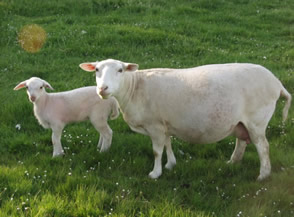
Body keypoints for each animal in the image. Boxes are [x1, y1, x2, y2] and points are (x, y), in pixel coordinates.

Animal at [78, 58, 292, 181]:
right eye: (96, 70)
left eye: (120, 70)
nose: (102, 89)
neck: (134, 88)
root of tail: (277, 83)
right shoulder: (164, 124)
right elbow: (168, 144)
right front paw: (170, 165)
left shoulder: (155, 125)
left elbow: (157, 151)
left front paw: (155, 174)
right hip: (241, 121)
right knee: (241, 142)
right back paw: (232, 163)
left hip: (257, 120)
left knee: (263, 147)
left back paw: (263, 175)